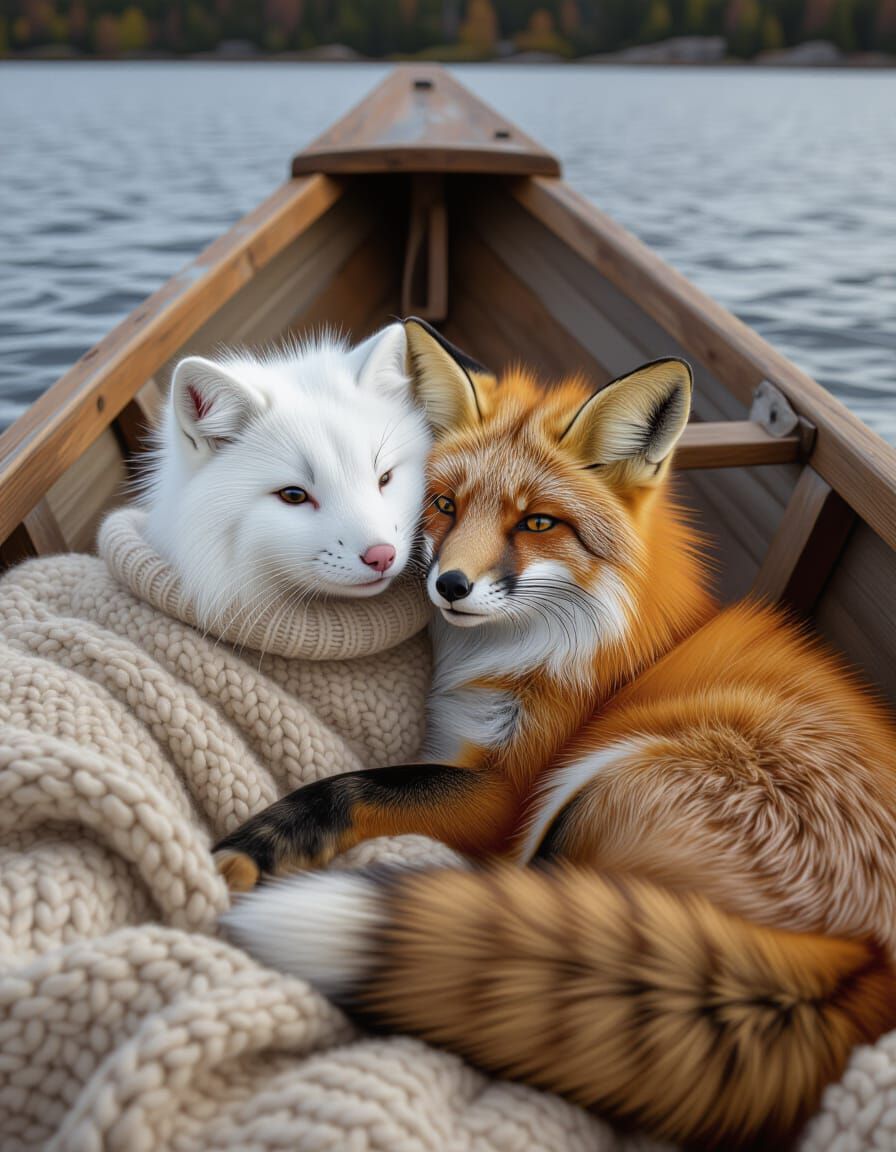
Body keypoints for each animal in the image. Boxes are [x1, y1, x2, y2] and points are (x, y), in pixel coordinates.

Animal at [219, 319, 896, 1151]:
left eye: (537, 522)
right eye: (443, 505)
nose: (449, 586)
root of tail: (862, 956)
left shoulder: (506, 795)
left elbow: (353, 786)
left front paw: (256, 846)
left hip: (597, 784)